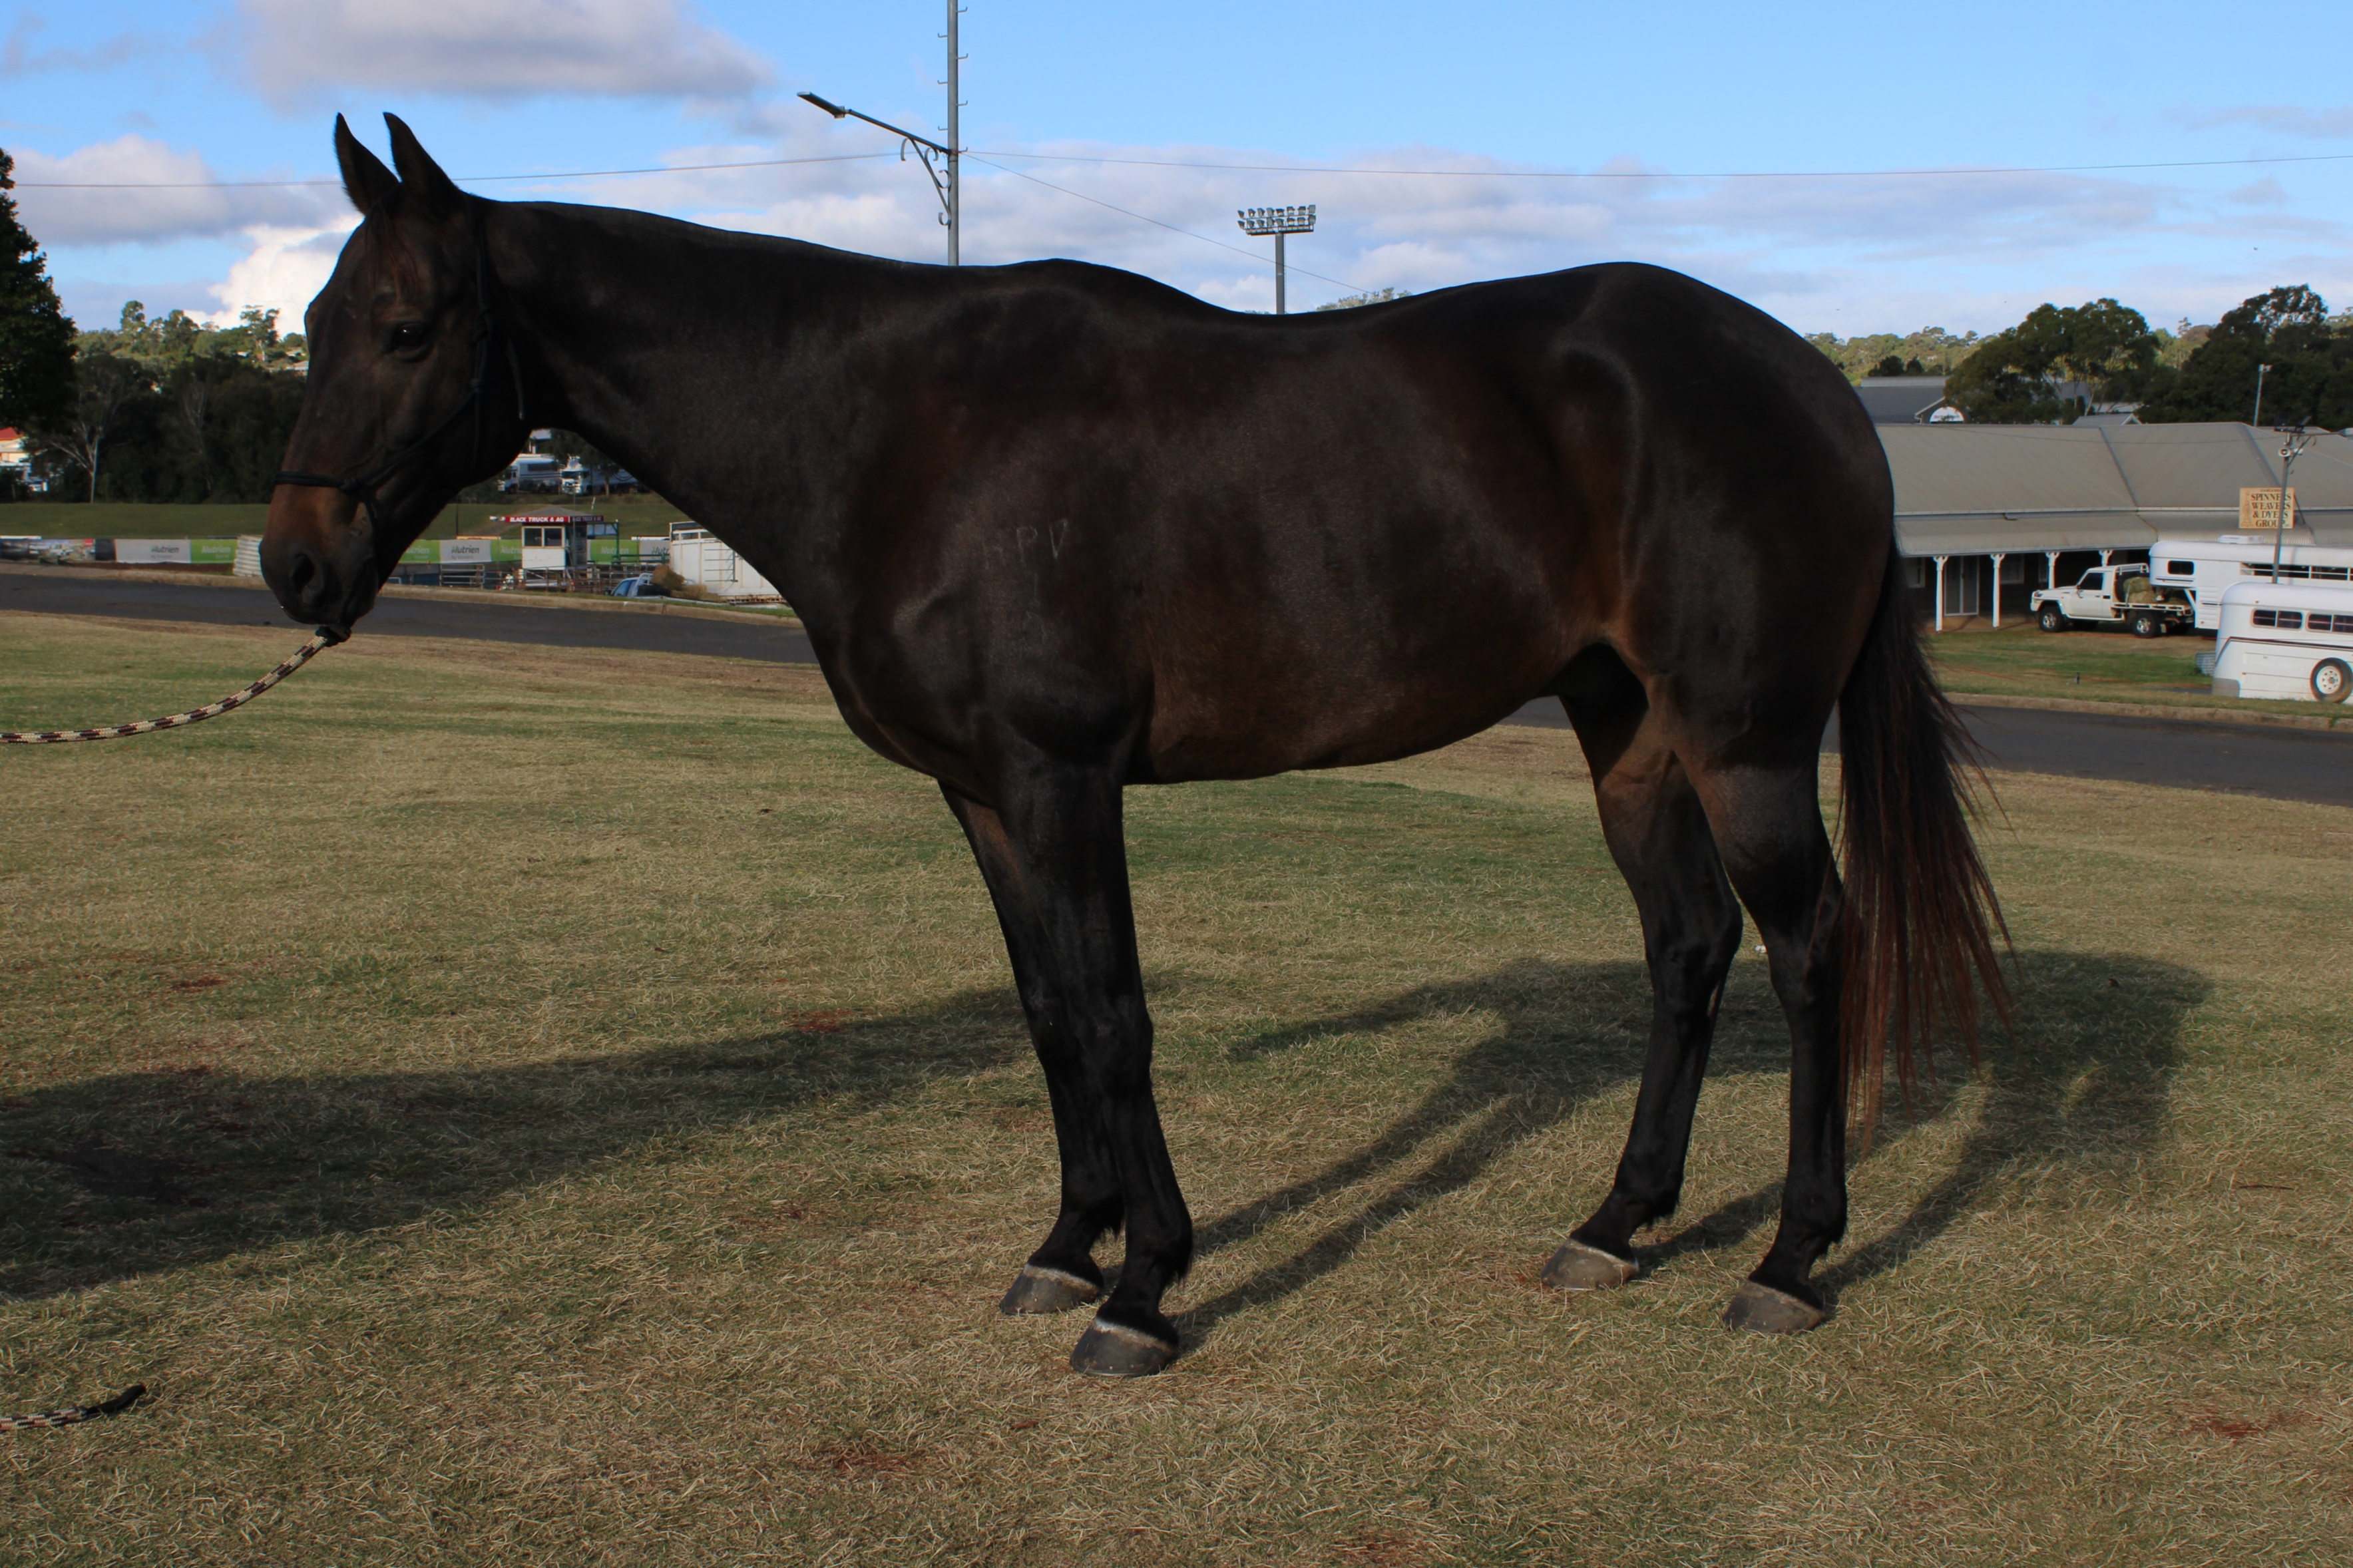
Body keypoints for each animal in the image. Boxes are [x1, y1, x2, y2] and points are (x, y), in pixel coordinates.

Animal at [263, 115, 2007, 1377]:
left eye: (407, 326)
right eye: (313, 321)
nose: (293, 565)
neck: (897, 428)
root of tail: (1813, 386)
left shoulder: (1063, 773)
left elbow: (1113, 1013)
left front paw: (1148, 1285)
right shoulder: (981, 794)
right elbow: (1047, 1014)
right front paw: (1066, 1245)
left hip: (1749, 741)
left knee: (1809, 946)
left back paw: (1790, 1259)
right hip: (1628, 730)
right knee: (1688, 946)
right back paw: (1618, 1223)